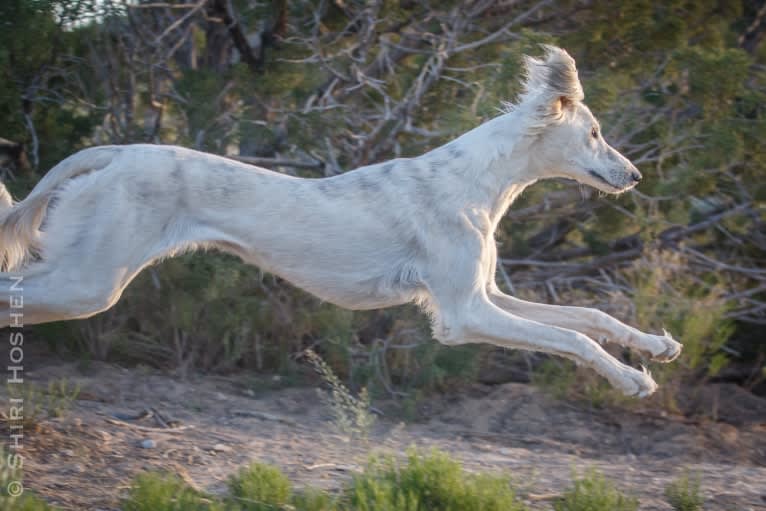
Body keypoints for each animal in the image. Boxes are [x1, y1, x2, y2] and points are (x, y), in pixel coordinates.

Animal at [0, 47, 684, 396]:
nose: (634, 176)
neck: (478, 181)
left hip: (83, 277)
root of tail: (112, 151)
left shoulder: (484, 295)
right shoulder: (463, 316)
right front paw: (632, 379)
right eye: (594, 134)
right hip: (89, 282)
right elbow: (574, 339)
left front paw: (655, 347)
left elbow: (588, 317)